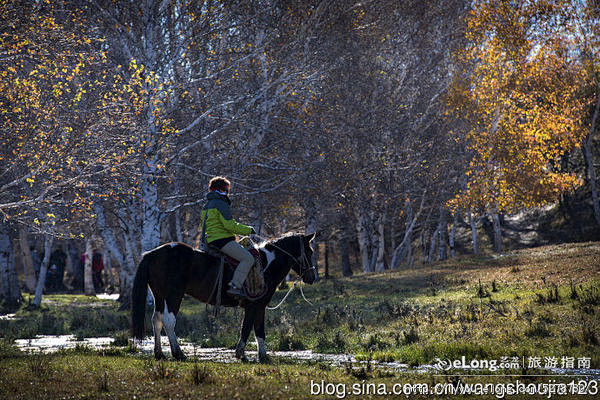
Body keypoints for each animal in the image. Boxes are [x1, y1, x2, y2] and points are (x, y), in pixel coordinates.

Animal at [131, 231, 318, 362]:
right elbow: (249, 329)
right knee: (169, 320)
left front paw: (262, 356)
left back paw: (159, 353)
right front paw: (242, 354)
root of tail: (152, 254)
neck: (266, 264)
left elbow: (258, 331)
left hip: (160, 296)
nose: (312, 277)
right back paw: (178, 353)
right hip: (174, 295)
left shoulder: (258, 307)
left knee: (157, 320)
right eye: (309, 251)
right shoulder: (255, 305)